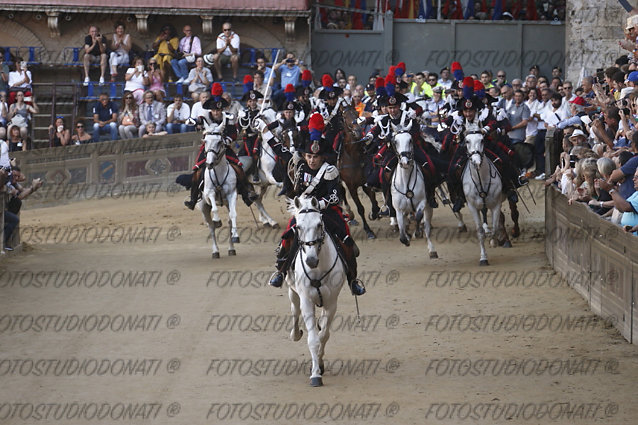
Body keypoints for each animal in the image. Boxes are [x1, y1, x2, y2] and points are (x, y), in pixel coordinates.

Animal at [201, 121, 239, 256]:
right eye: (205, 141)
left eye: (219, 142)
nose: (209, 164)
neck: (219, 172)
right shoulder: (209, 193)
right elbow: (215, 208)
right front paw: (217, 220)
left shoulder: (232, 194)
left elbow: (233, 215)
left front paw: (236, 236)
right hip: (203, 207)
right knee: (211, 227)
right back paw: (215, 251)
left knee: (229, 221)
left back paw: (231, 248)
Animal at [286, 197, 344, 386]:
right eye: (298, 227)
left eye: (319, 224)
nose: (310, 261)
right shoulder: (306, 300)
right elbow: (313, 339)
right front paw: (315, 375)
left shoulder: (332, 302)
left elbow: (323, 335)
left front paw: (319, 364)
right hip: (292, 291)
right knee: (295, 311)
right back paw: (295, 333)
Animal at [336, 104, 380, 238]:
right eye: (345, 117)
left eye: (356, 113)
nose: (358, 131)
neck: (354, 156)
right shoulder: (351, 186)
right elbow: (360, 208)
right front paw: (368, 230)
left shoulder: (366, 182)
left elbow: (373, 201)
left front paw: (375, 213)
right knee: (341, 192)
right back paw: (349, 214)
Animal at [390, 127, 440, 256]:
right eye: (395, 142)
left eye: (410, 140)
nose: (405, 162)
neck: (406, 181)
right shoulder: (399, 209)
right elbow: (402, 233)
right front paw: (406, 239)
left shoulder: (422, 202)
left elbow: (418, 216)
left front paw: (417, 233)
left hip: (428, 207)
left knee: (427, 226)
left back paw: (432, 249)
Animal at [462, 132, 508, 264]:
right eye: (467, 141)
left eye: (482, 140)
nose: (476, 161)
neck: (481, 180)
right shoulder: (472, 207)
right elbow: (480, 232)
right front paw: (483, 258)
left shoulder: (496, 205)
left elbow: (495, 227)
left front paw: (494, 241)